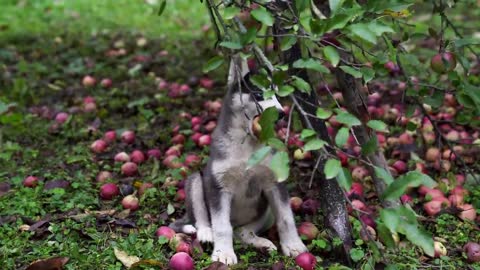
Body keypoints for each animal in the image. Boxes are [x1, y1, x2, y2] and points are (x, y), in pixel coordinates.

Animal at [171, 56, 308, 264]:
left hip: (265, 211)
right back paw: (206, 233)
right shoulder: (219, 185)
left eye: (276, 94)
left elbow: (286, 218)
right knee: (202, 220)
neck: (249, 146)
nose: (281, 113)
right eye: (258, 93)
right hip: (197, 180)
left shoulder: (275, 183)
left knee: (242, 232)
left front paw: (293, 245)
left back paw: (260, 242)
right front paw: (223, 253)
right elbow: (222, 226)